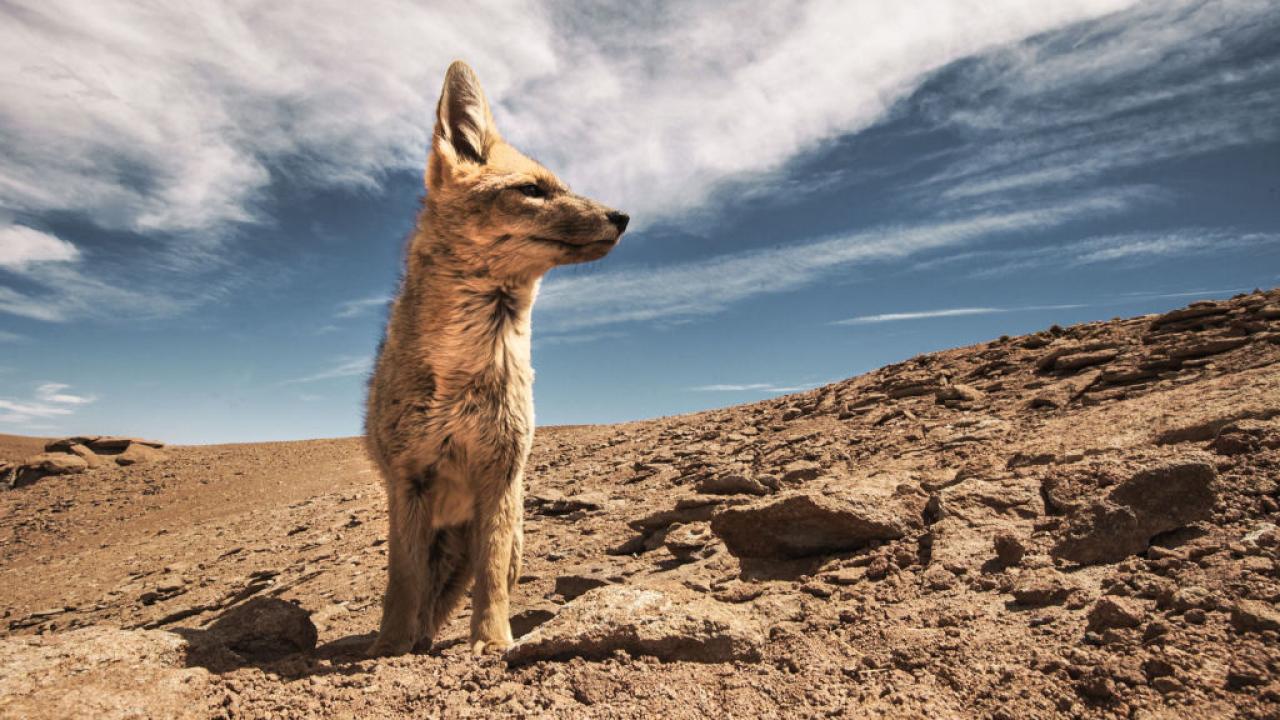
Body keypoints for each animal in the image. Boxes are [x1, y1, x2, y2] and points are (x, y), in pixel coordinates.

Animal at [363, 63, 627, 655]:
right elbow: (402, 581)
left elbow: (490, 580)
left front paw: (491, 641)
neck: (462, 371)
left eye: (563, 186)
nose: (622, 216)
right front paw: (389, 647)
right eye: (532, 190)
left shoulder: (501, 474)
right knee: (424, 595)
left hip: (506, 530)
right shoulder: (408, 480)